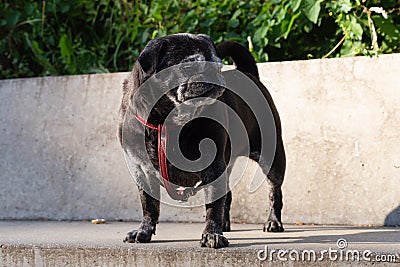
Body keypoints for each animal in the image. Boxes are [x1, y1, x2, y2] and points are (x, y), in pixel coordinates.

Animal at [117, 33, 286, 249]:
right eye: (189, 66)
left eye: (218, 66)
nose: (213, 73)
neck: (167, 120)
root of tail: (248, 73)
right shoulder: (141, 171)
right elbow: (149, 205)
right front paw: (144, 230)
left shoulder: (213, 167)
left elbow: (212, 204)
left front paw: (212, 234)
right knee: (227, 194)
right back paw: (226, 223)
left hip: (271, 158)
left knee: (274, 191)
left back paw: (273, 222)